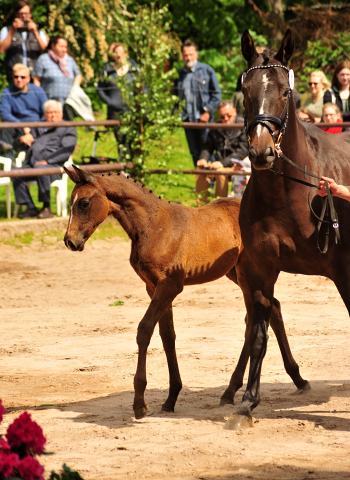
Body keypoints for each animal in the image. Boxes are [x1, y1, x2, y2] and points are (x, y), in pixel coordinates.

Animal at [63, 166, 308, 420]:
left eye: (84, 202)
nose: (70, 241)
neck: (154, 225)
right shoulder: (153, 287)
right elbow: (167, 335)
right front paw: (171, 398)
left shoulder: (170, 285)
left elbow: (145, 330)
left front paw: (140, 403)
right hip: (236, 273)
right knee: (268, 311)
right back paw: (268, 384)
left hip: (247, 273)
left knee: (258, 316)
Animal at [234, 30, 350, 426]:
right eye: (245, 90)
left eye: (286, 92)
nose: (262, 152)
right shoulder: (260, 271)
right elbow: (258, 334)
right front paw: (248, 401)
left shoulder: (342, 272)